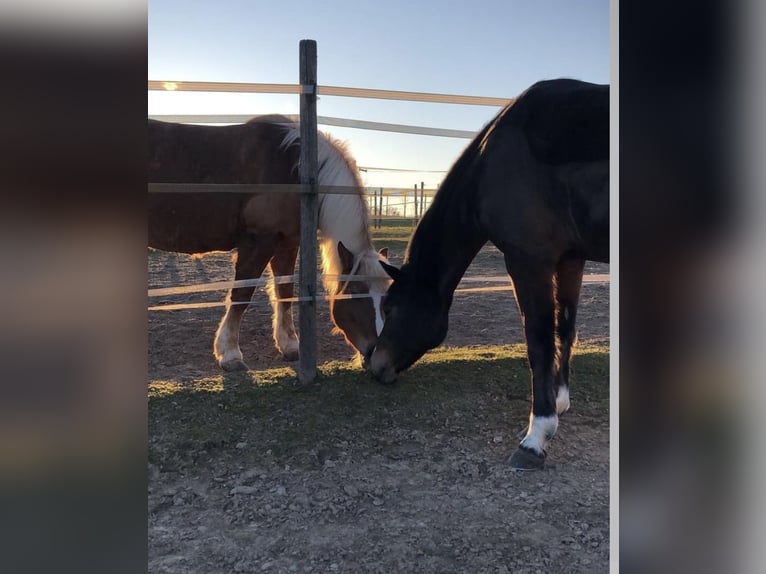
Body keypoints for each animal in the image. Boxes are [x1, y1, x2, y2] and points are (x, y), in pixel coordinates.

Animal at [150, 116, 392, 374]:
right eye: (356, 294)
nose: (377, 357)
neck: (295, 169)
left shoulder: (288, 242)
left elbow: (284, 291)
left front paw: (290, 346)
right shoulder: (259, 241)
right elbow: (241, 294)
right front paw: (230, 354)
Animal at [368, 79, 608, 470]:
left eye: (389, 307)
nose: (376, 365)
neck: (492, 164)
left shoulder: (528, 261)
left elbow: (539, 341)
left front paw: (536, 436)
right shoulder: (571, 259)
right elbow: (565, 330)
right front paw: (559, 403)